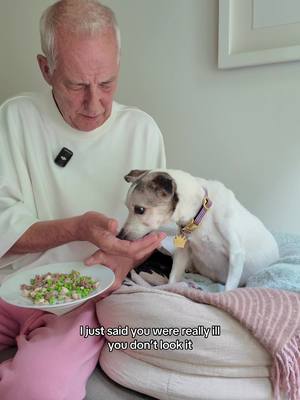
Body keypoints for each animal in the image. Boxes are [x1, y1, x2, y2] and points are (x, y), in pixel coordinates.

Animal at [119, 169, 278, 290]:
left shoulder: (236, 254)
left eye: (140, 210)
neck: (201, 213)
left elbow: (229, 289)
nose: (120, 237)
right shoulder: (183, 251)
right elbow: (172, 279)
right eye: (126, 207)